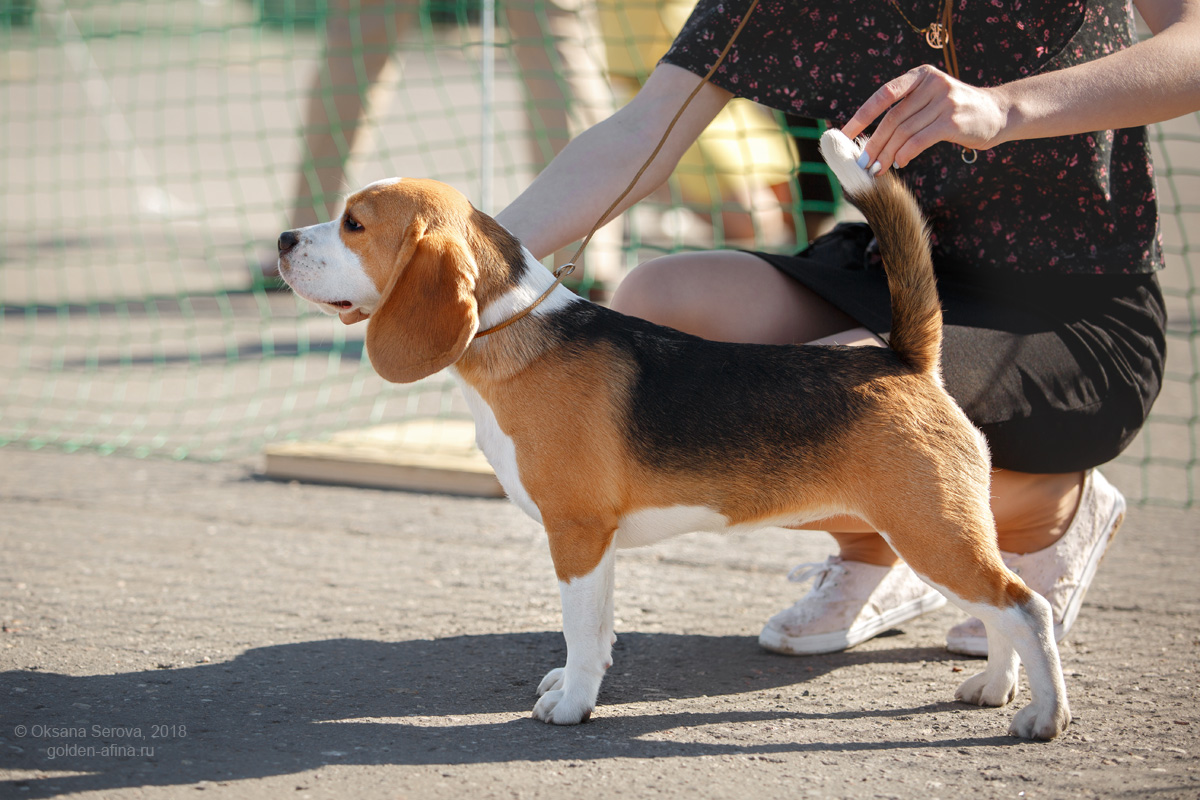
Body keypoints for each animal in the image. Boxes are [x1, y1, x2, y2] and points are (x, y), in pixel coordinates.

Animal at [276, 130, 1075, 738]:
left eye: (354, 223)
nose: (282, 238)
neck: (513, 330)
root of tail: (904, 358)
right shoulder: (593, 543)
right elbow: (596, 631)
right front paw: (576, 685)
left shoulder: (576, 532)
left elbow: (580, 629)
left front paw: (573, 706)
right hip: (942, 531)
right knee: (999, 610)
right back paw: (994, 687)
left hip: (929, 530)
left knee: (1024, 606)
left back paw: (1044, 716)